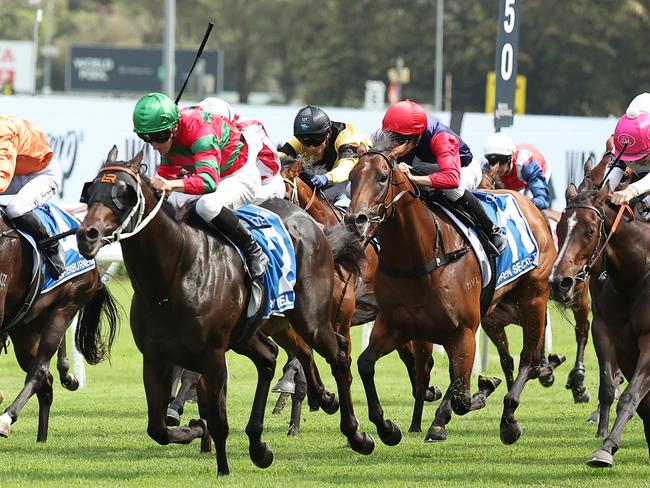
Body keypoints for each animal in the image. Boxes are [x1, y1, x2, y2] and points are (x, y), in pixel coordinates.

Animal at [0, 208, 117, 440]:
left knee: (39, 373)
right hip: (25, 329)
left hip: (65, 308)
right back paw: (41, 440)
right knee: (46, 383)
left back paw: (6, 419)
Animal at [75, 146, 372, 476]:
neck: (173, 276)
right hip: (262, 328)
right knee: (273, 357)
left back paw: (359, 434)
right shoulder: (155, 358)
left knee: (338, 356)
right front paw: (194, 429)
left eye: (124, 193)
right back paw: (269, 437)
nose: (87, 235)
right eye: (90, 190)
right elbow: (159, 429)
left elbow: (218, 421)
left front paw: (223, 470)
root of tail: (310, 222)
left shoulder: (213, 356)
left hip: (311, 319)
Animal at [342, 132, 556, 444]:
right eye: (352, 177)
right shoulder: (396, 325)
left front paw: (477, 394)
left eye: (382, 177)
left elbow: (461, 395)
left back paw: (509, 419)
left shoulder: (464, 330)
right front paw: (387, 427)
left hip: (534, 298)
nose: (354, 221)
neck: (418, 259)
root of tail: (530, 206)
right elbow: (366, 364)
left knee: (529, 359)